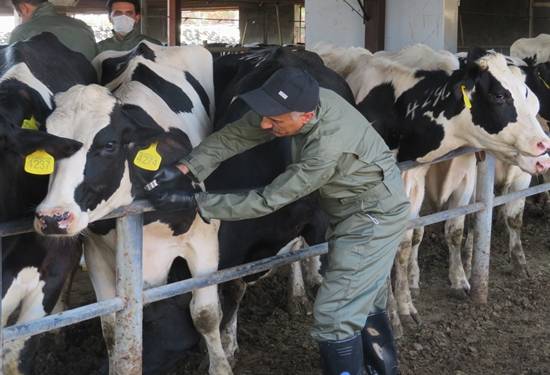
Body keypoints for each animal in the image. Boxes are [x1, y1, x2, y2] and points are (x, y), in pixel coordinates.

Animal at [33, 42, 231, 375]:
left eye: (109, 145)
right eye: (49, 144)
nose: (53, 218)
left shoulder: (205, 240)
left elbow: (205, 314)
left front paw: (221, 366)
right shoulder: (97, 253)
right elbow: (112, 326)